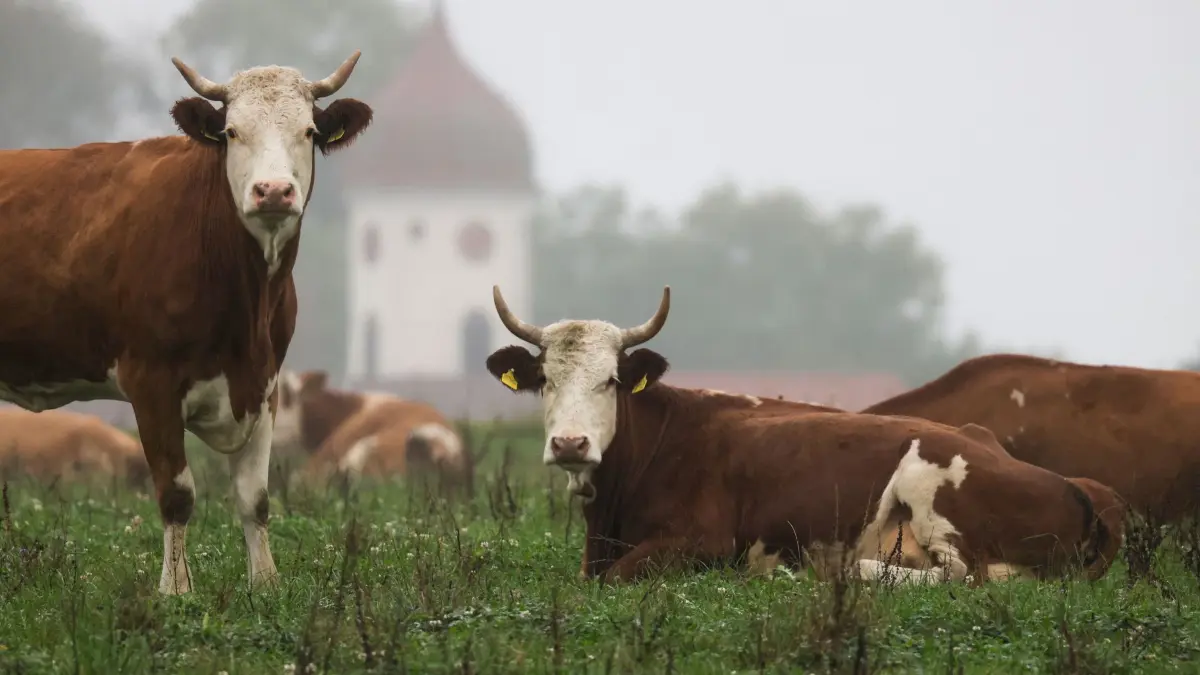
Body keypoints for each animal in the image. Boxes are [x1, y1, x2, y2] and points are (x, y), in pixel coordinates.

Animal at [482, 286, 1124, 584]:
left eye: (611, 381)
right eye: (546, 380)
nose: (570, 444)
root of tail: (1079, 487)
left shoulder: (703, 542)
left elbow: (616, 578)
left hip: (935, 489)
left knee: (961, 578)